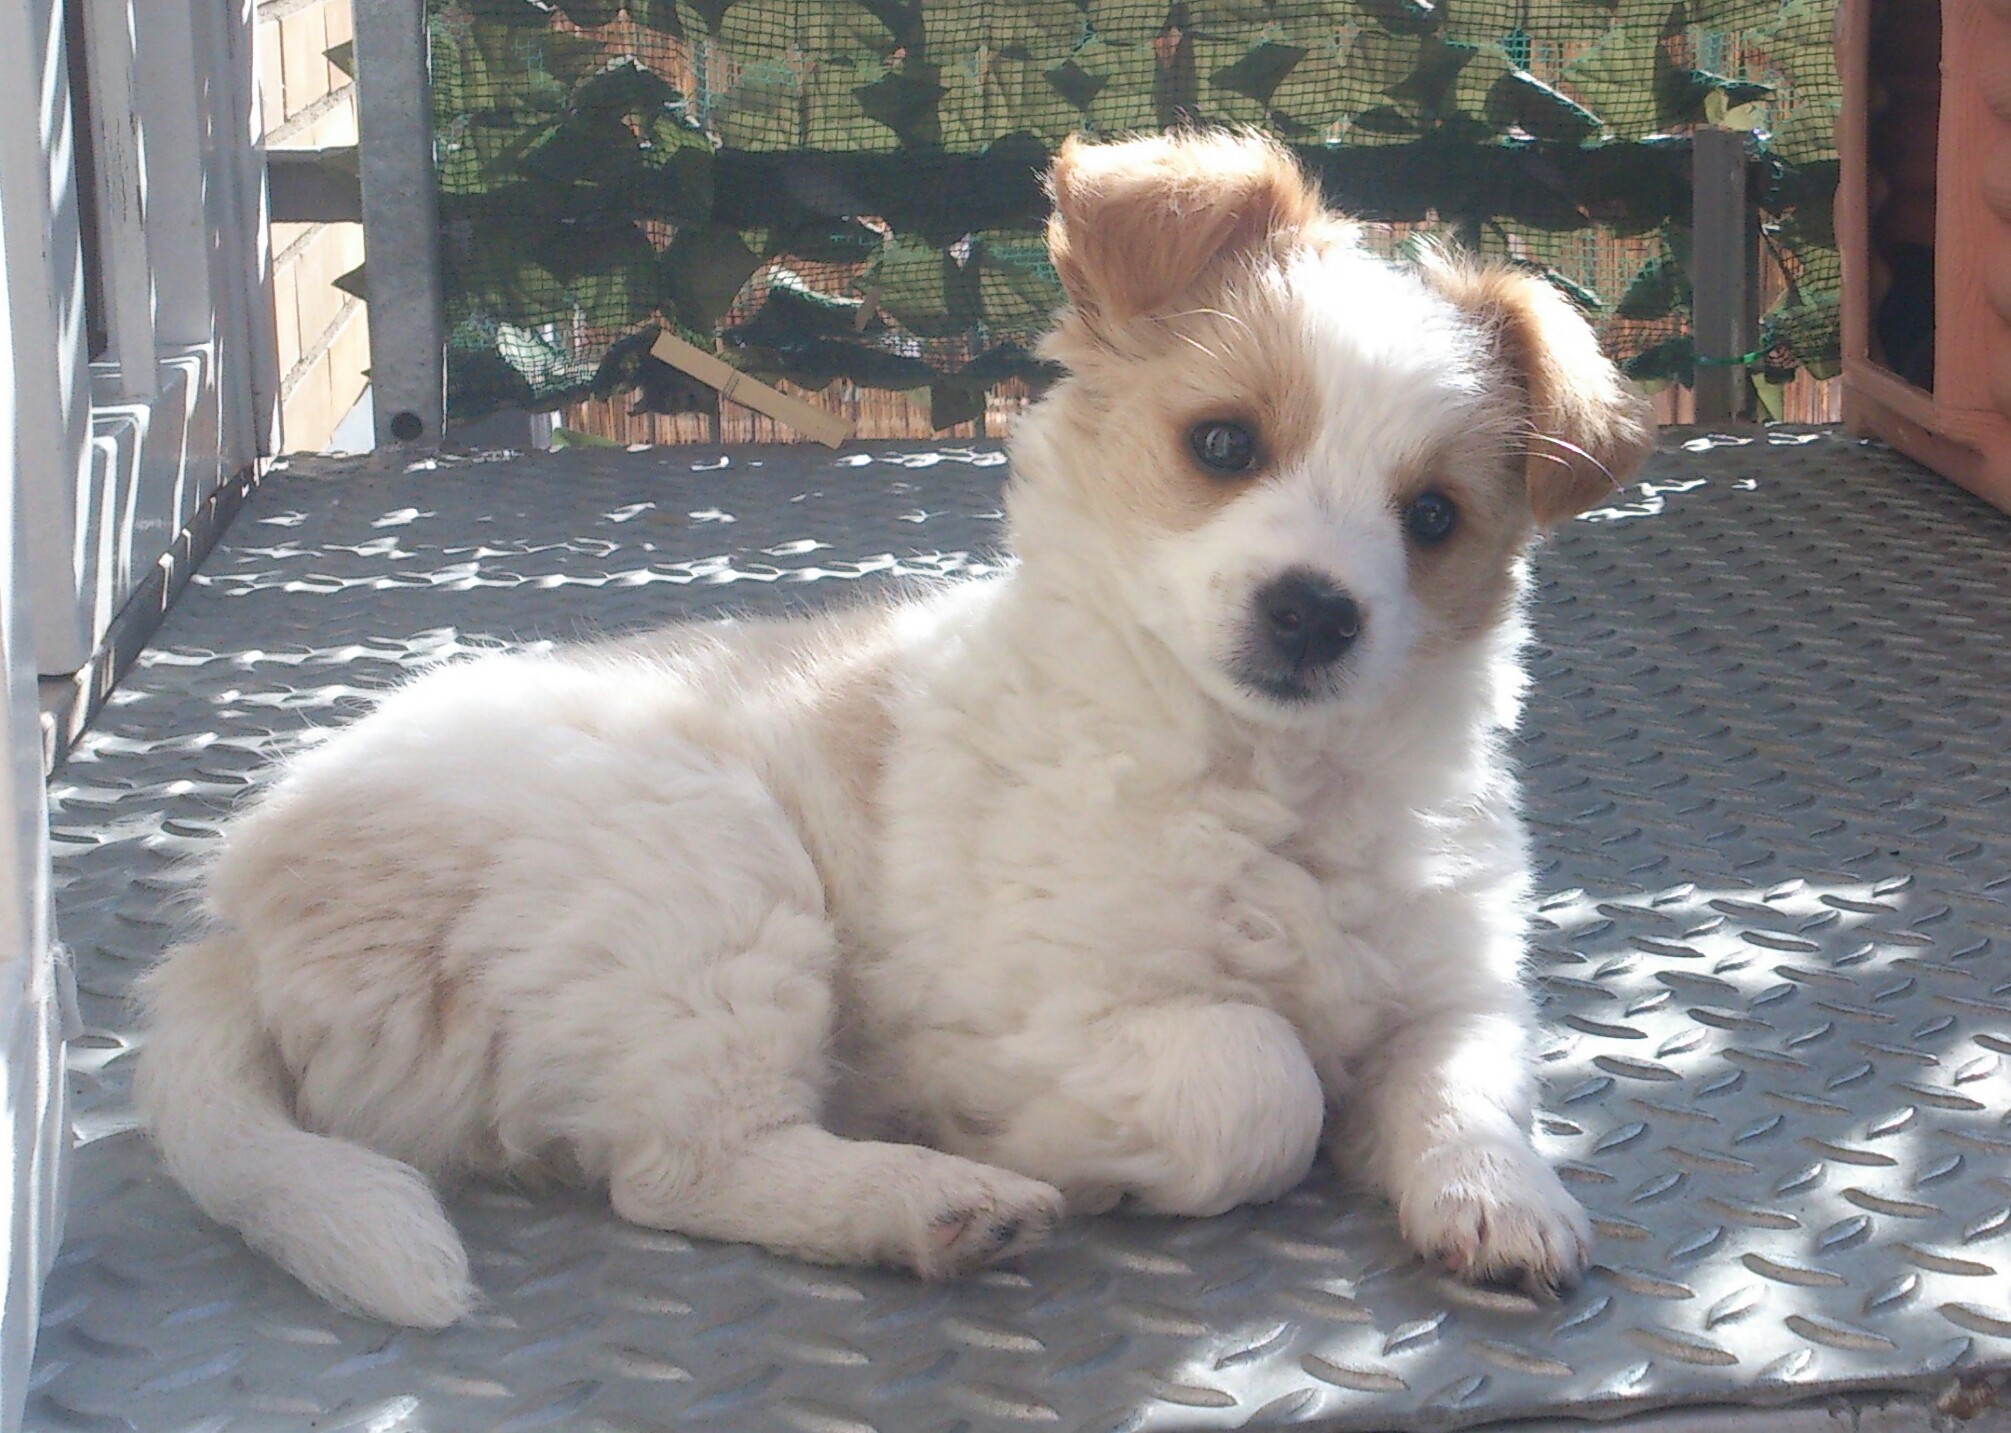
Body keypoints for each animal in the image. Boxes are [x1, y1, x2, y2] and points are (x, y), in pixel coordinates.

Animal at [135, 130, 1653, 1327]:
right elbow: (1254, 1079)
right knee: (676, 1170)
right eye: (1223, 445)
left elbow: (1466, 1084)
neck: (1267, 782)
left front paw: (1501, 1202)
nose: (1312, 611)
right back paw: (934, 1197)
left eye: (1431, 517)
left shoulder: (1451, 984)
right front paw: (1081, 1143)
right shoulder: (1032, 1007)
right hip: (705, 880)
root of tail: (241, 920)